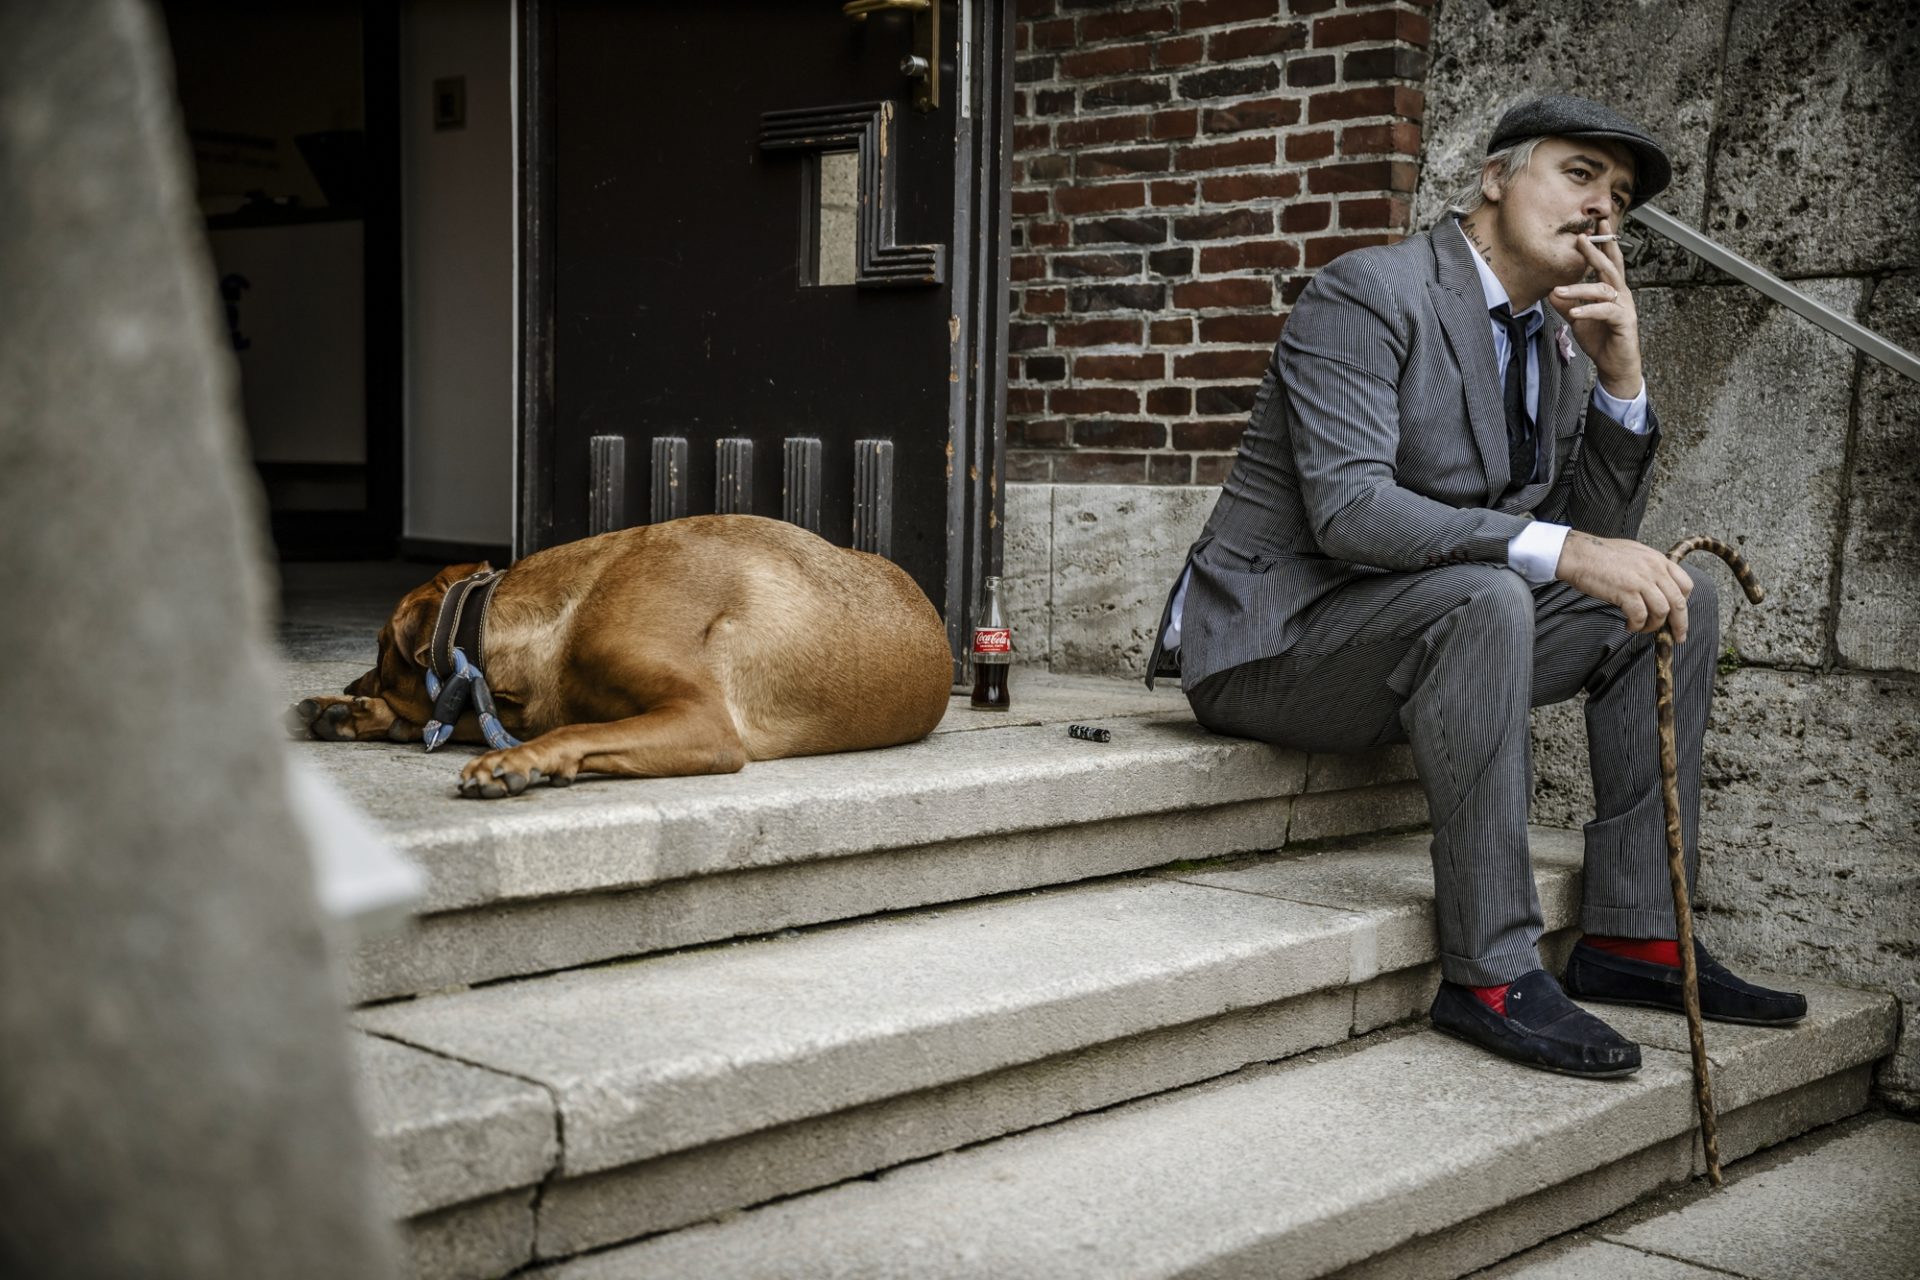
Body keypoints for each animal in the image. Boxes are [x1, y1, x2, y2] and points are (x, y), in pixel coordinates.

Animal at [289, 514, 952, 794]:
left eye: (380, 650)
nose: (351, 687)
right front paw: (351, 712)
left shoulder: (704, 723)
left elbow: (574, 731)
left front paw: (515, 762)